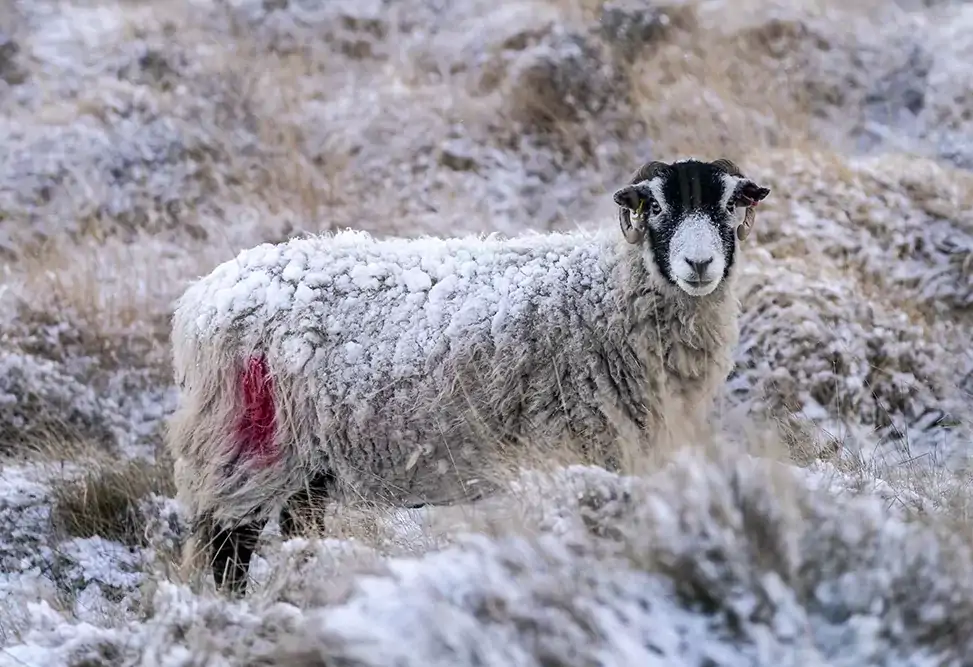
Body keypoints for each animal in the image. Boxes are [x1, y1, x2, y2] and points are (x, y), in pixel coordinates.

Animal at [169, 159, 776, 596]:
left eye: (729, 204)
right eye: (656, 207)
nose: (699, 265)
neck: (606, 288)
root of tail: (200, 300)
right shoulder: (572, 451)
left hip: (303, 461)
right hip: (244, 446)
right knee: (228, 548)